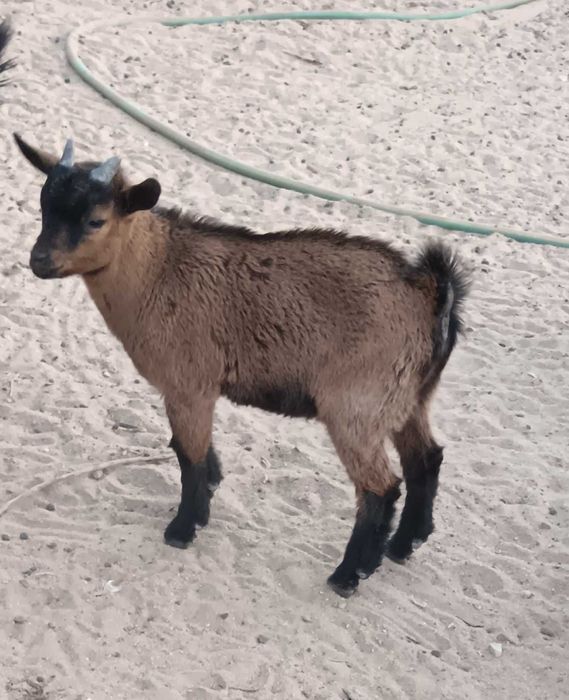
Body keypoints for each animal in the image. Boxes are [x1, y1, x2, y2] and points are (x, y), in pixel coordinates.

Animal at [14, 135, 470, 597]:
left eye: (96, 220)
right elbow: (193, 452)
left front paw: (183, 528)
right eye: (44, 205)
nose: (39, 261)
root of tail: (429, 290)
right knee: (425, 460)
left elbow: (189, 456)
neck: (158, 270)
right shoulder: (192, 389)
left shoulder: (189, 384)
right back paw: (403, 545)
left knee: (381, 487)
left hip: (357, 406)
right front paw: (208, 498)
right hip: (407, 399)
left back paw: (349, 574)